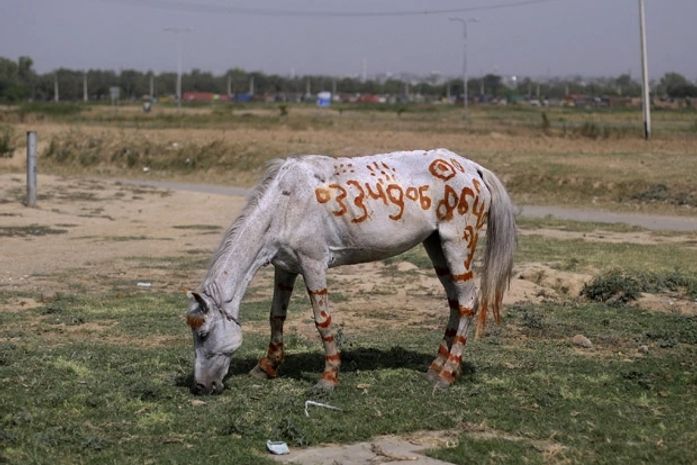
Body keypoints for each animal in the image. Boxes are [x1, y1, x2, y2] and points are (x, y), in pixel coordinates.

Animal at [185, 148, 516, 395]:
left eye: (203, 333)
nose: (201, 386)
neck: (286, 202)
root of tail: (474, 169)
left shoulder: (313, 264)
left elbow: (322, 321)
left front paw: (328, 378)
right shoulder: (286, 268)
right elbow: (276, 316)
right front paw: (267, 366)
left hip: (457, 244)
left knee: (468, 302)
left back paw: (447, 375)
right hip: (435, 247)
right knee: (454, 303)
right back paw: (436, 367)